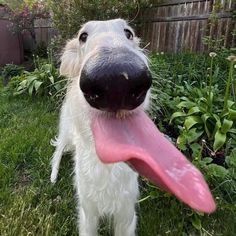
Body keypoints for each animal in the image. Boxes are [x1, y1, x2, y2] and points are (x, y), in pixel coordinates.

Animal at [50, 18, 216, 236]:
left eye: (128, 33)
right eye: (83, 36)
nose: (116, 80)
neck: (107, 165)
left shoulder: (126, 215)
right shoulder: (88, 215)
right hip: (68, 131)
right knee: (59, 149)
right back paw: (53, 175)